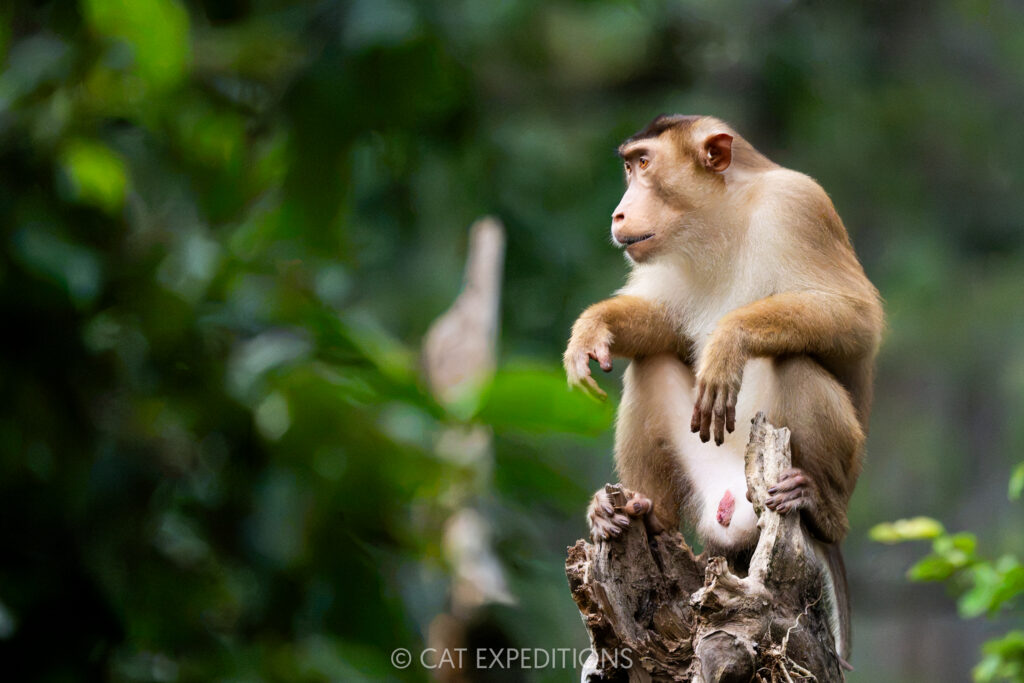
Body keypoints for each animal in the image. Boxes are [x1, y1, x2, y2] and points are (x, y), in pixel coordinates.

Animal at [563, 115, 883, 663]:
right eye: (630, 165)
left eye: (643, 163)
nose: (619, 212)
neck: (722, 216)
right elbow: (662, 329)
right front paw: (591, 328)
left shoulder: (798, 205)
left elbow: (858, 319)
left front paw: (729, 339)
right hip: (705, 477)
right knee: (648, 367)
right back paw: (641, 513)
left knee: (794, 361)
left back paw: (817, 507)